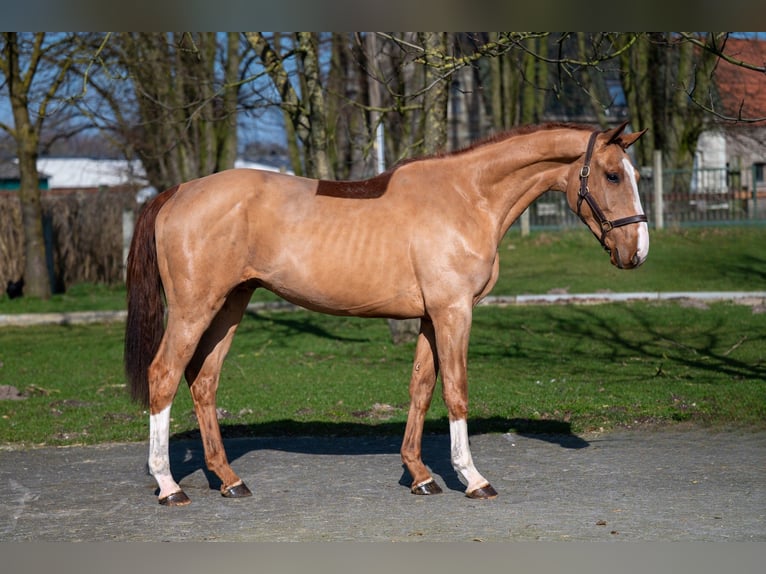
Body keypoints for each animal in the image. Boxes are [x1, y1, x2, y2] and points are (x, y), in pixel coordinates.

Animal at [124, 119, 648, 506]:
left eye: (636, 175)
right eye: (613, 175)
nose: (637, 252)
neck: (468, 196)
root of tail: (178, 192)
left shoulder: (431, 317)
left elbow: (421, 388)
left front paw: (420, 475)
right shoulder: (454, 312)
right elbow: (456, 392)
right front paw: (472, 478)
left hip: (231, 304)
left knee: (203, 381)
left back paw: (229, 480)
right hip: (195, 308)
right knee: (164, 374)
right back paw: (168, 486)